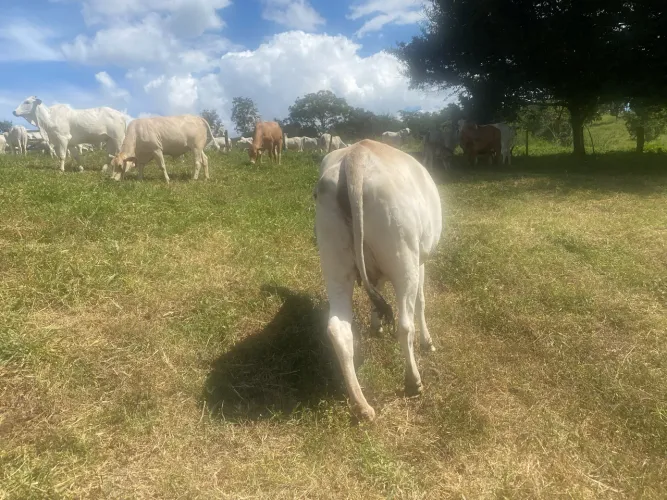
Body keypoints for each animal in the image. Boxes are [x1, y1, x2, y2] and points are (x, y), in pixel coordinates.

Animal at [314, 139, 442, 421]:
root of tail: (357, 154)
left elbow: (378, 291)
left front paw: (376, 324)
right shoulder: (421, 261)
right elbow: (422, 302)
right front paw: (428, 342)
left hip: (334, 261)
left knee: (338, 328)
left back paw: (361, 404)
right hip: (404, 257)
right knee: (405, 325)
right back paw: (413, 381)